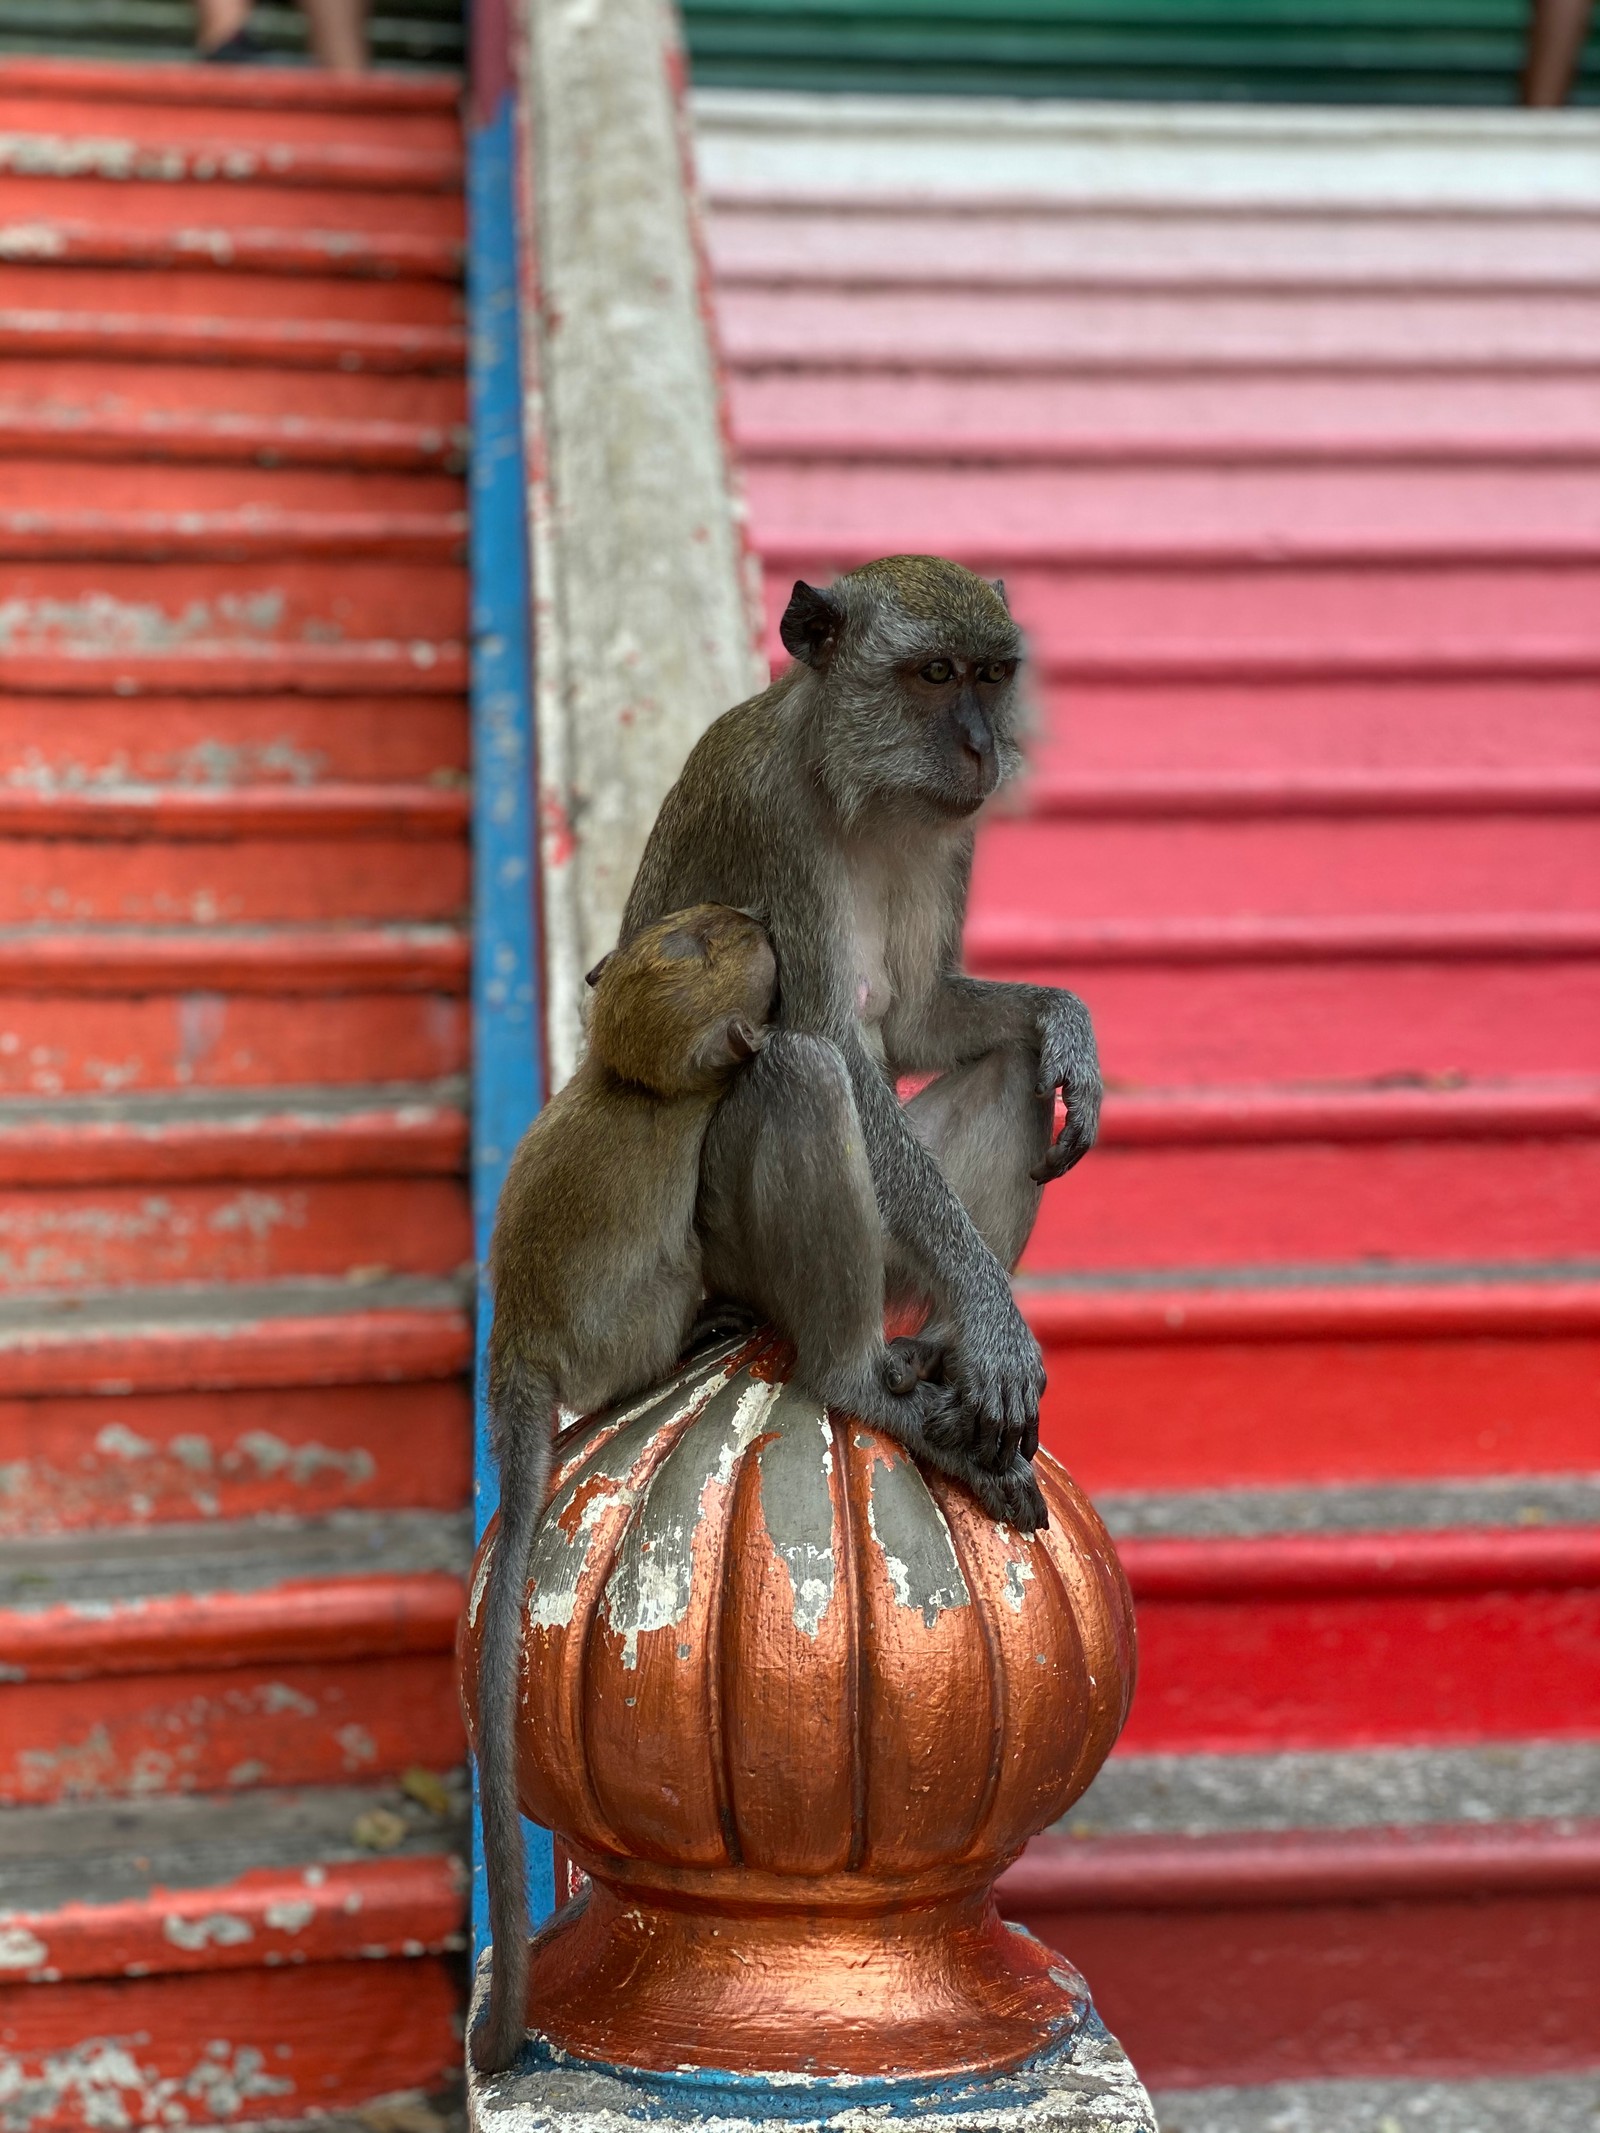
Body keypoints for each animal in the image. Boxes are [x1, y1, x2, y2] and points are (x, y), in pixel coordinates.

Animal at [473, 900, 780, 2064]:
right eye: (725, 942)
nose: (760, 917)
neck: (622, 1076)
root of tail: (516, 1352)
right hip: (647, 1304)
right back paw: (704, 1329)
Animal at [627, 550, 1100, 1518]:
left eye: (990, 674)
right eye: (935, 673)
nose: (982, 748)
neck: (853, 786)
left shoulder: (948, 836)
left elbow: (918, 1021)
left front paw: (1067, 1021)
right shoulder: (768, 817)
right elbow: (833, 1043)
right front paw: (995, 1322)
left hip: (894, 1256)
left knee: (1014, 1066)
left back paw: (939, 1346)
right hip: (735, 1258)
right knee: (803, 1072)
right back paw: (856, 1375)